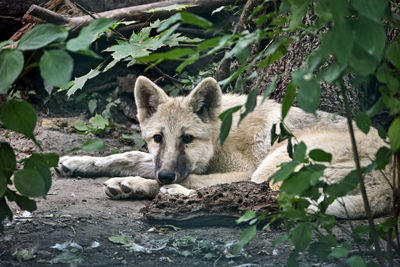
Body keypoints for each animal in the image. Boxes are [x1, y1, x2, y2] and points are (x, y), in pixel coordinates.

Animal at [57, 76, 394, 219]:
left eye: (187, 139)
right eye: (157, 138)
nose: (166, 176)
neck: (223, 137)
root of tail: (391, 183)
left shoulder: (241, 171)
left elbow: (193, 179)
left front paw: (138, 184)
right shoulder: (160, 160)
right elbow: (125, 155)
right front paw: (79, 162)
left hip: (272, 167)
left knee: (268, 197)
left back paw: (172, 194)